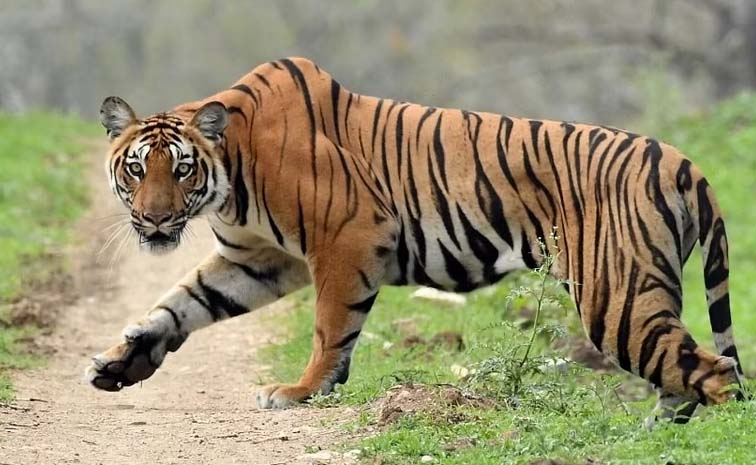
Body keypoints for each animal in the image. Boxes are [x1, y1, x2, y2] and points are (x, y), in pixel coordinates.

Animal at [86, 57, 744, 426]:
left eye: (182, 170)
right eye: (137, 170)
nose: (154, 220)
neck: (229, 174)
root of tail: (685, 162)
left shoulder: (347, 235)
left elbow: (330, 326)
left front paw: (301, 391)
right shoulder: (257, 259)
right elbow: (180, 303)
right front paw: (121, 362)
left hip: (617, 294)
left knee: (715, 373)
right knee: (684, 379)